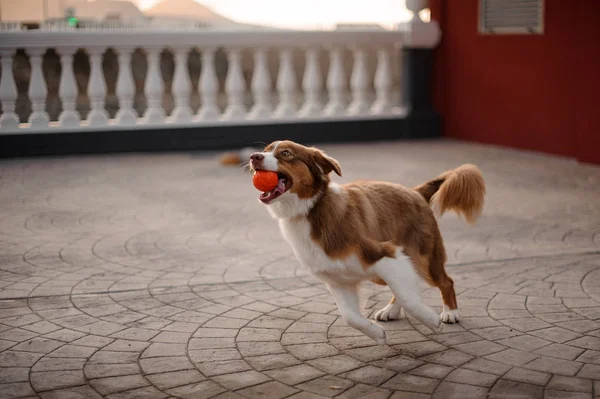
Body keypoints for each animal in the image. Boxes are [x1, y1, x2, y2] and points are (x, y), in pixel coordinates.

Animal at [250, 141, 488, 344]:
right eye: (266, 150)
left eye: (286, 154)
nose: (254, 157)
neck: (310, 209)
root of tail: (415, 192)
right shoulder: (337, 279)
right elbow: (349, 316)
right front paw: (376, 334)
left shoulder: (384, 252)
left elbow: (408, 297)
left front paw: (431, 320)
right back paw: (391, 311)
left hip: (424, 258)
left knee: (445, 282)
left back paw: (450, 312)